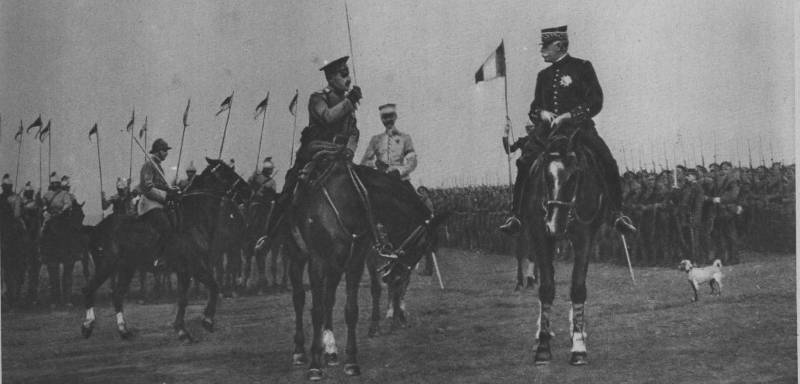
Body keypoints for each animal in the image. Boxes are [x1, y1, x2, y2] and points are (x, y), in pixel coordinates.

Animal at [81, 159, 250, 342]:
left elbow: (196, 294)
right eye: (226, 172)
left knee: (117, 295)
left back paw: (124, 330)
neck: (192, 217)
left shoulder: (189, 270)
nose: (249, 190)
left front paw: (189, 327)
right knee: (88, 289)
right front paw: (200, 324)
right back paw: (87, 326)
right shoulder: (193, 267)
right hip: (106, 266)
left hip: (127, 268)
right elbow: (203, 291)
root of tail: (95, 228)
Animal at [276, 151, 444, 380]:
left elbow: (350, 310)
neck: (350, 201)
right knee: (300, 300)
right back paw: (300, 351)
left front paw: (351, 362)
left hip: (336, 265)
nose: (396, 277)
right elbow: (316, 310)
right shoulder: (318, 261)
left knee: (329, 299)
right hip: (296, 257)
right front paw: (314, 365)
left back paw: (331, 349)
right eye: (423, 243)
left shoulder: (354, 261)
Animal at [524, 127, 608, 366]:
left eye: (574, 176)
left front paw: (578, 346)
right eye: (546, 176)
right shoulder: (540, 235)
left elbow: (578, 288)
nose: (555, 225)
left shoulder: (584, 237)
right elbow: (546, 288)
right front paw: (543, 347)